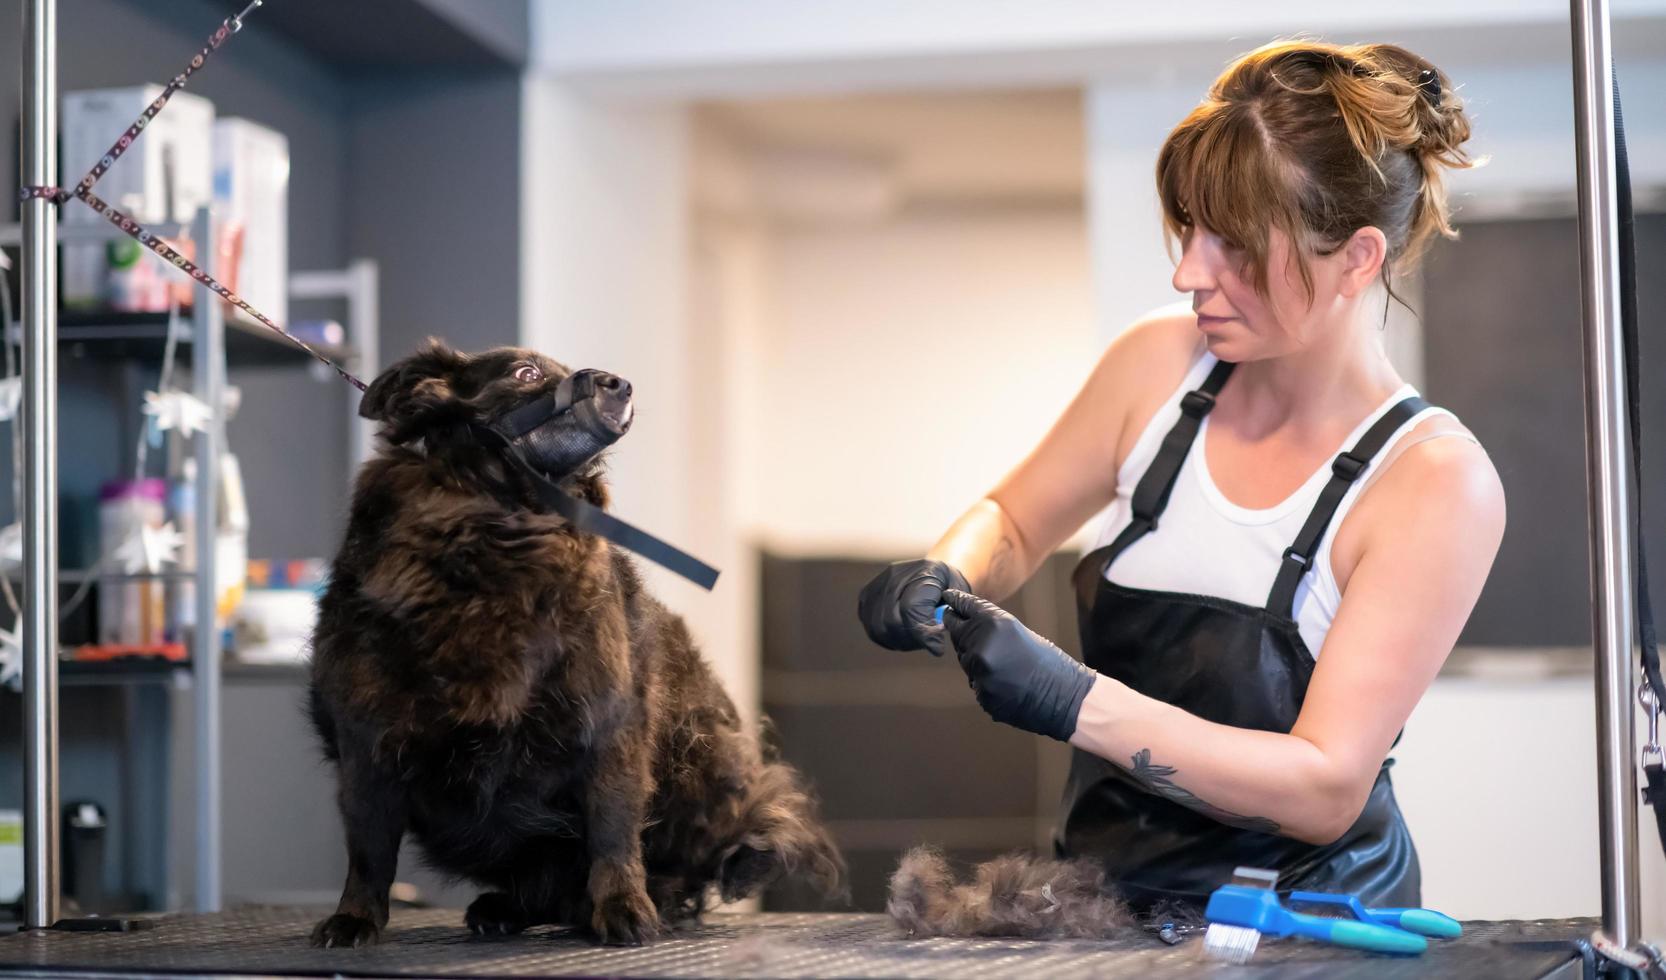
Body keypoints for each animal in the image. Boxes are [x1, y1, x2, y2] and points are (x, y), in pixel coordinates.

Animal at [306, 340, 846, 946]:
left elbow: (613, 833)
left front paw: (623, 908)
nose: (619, 384)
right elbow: (369, 849)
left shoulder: (608, 726)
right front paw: (354, 917)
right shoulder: (367, 740)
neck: (503, 535)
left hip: (704, 762)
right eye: (525, 373)